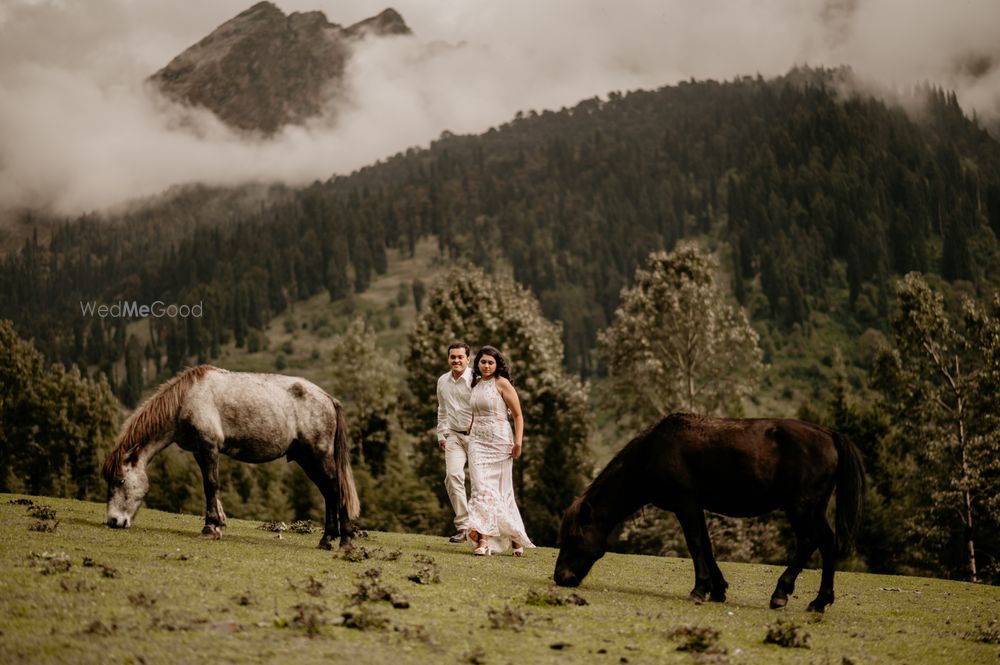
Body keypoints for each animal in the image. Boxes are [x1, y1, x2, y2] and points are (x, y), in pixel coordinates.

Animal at [100, 366, 360, 548]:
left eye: (120, 481)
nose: (113, 521)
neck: (188, 397)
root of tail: (328, 398)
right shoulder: (199, 451)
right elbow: (211, 486)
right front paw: (219, 523)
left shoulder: (209, 446)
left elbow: (210, 484)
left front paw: (210, 528)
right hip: (307, 460)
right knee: (328, 492)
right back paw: (328, 540)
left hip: (318, 456)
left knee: (335, 489)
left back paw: (343, 540)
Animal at [556, 416, 868, 612]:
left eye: (573, 538)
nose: (559, 577)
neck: (653, 450)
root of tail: (829, 435)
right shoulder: (695, 506)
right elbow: (706, 545)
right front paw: (717, 589)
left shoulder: (686, 504)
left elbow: (695, 545)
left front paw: (699, 589)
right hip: (814, 509)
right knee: (826, 543)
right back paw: (820, 602)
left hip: (800, 508)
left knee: (807, 542)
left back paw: (781, 594)